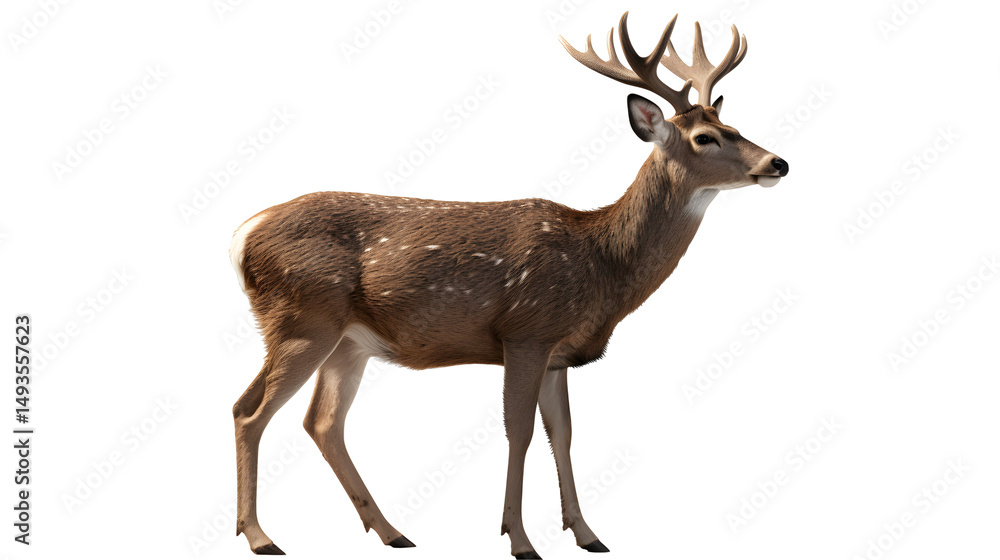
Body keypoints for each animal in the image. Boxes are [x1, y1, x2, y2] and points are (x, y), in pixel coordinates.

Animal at [229, 11, 788, 559]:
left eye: (733, 125)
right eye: (705, 138)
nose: (777, 163)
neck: (600, 268)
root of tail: (242, 236)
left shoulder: (558, 354)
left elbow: (563, 434)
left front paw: (587, 534)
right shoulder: (526, 331)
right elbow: (518, 433)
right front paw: (520, 541)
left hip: (348, 342)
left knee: (322, 422)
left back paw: (392, 531)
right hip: (302, 319)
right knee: (248, 411)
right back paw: (261, 537)